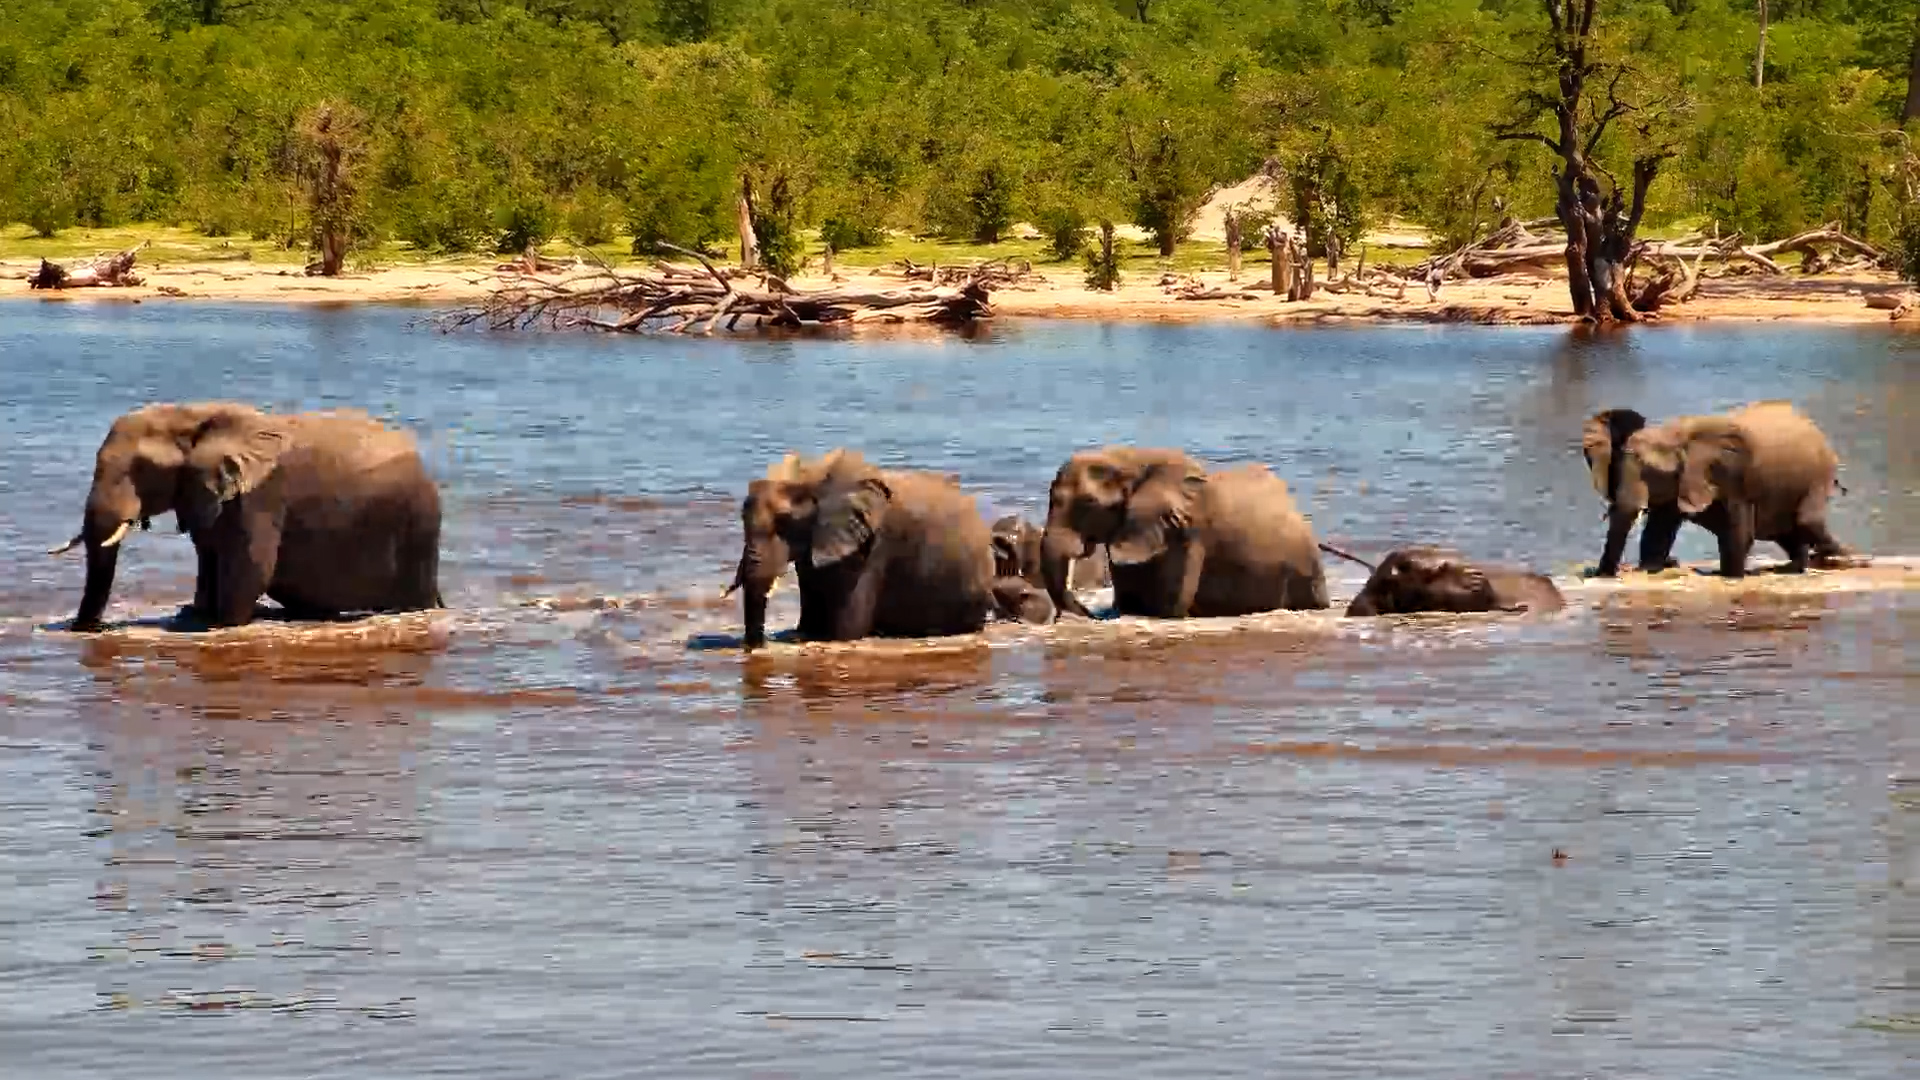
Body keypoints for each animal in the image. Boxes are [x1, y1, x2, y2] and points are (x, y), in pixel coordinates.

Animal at [50, 401, 445, 631]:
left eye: (143, 469)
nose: (88, 629)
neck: (193, 415)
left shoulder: (259, 498)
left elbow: (252, 568)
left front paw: (223, 626)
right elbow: (209, 561)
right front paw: (196, 616)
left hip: (418, 524)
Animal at [726, 448, 1011, 649]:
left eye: (784, 522)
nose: (757, 647)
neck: (812, 476)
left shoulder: (871, 546)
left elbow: (847, 630)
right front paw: (800, 634)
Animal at [1582, 400, 1855, 579]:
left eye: (1650, 472)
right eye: (1617, 468)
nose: (1598, 573)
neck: (1673, 434)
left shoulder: (1732, 475)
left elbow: (1739, 532)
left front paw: (1729, 576)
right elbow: (1659, 529)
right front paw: (1652, 568)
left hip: (1818, 474)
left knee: (1806, 521)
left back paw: (1843, 558)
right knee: (1788, 530)